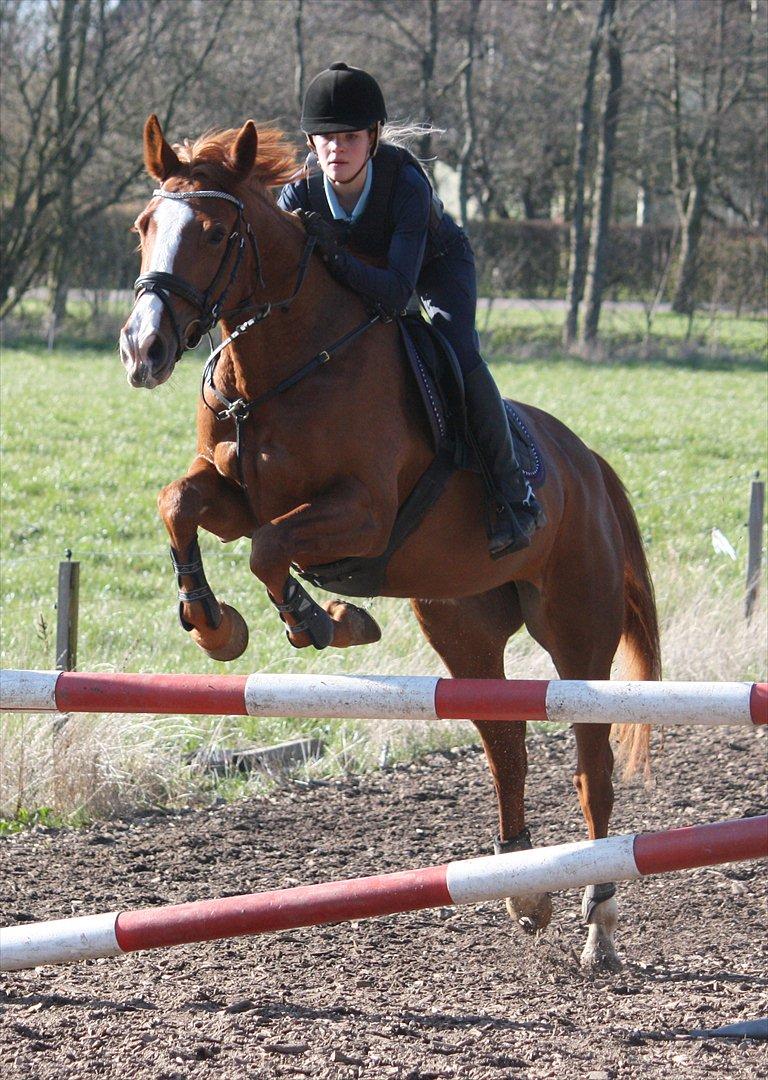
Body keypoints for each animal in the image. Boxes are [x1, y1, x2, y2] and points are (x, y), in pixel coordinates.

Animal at [118, 116, 661, 972]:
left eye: (212, 233)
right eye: (144, 227)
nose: (142, 351)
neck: (282, 365)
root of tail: (590, 466)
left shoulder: (362, 513)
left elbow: (269, 548)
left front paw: (324, 620)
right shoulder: (233, 495)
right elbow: (182, 503)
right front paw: (213, 624)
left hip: (578, 631)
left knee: (592, 767)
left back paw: (598, 920)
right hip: (464, 627)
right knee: (506, 742)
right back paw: (525, 889)